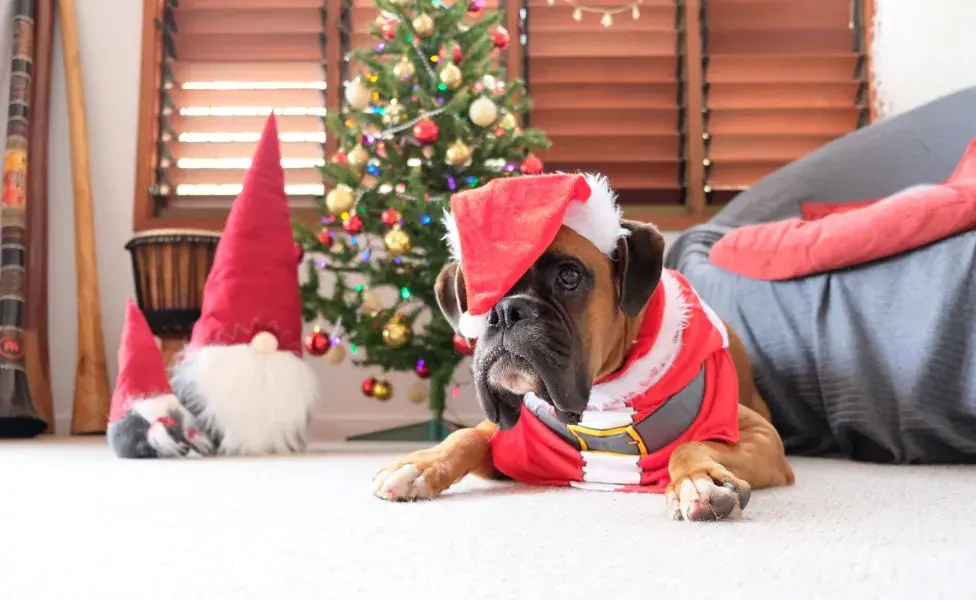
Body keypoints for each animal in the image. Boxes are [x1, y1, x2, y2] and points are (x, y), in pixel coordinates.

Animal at [372, 173, 792, 520]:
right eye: (478, 292)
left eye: (568, 276)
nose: (505, 312)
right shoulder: (508, 444)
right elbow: (465, 435)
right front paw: (419, 465)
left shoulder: (760, 436)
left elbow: (688, 445)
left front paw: (699, 481)